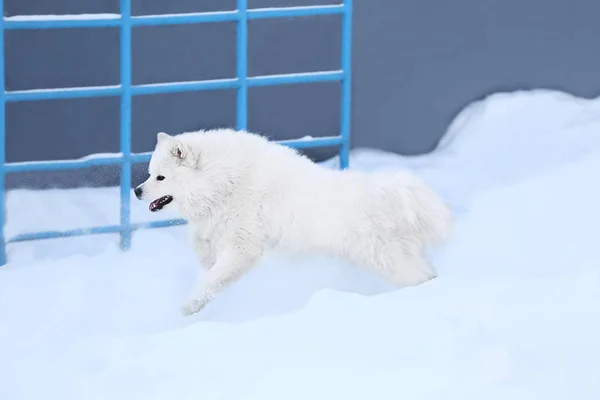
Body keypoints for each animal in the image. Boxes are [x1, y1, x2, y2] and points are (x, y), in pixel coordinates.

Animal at [134, 128, 452, 316]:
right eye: (149, 174)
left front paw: (190, 305)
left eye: (161, 177)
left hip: (388, 261)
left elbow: (214, 278)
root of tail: (389, 193)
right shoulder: (217, 229)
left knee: (421, 277)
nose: (136, 191)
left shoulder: (244, 247)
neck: (225, 181)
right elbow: (203, 250)